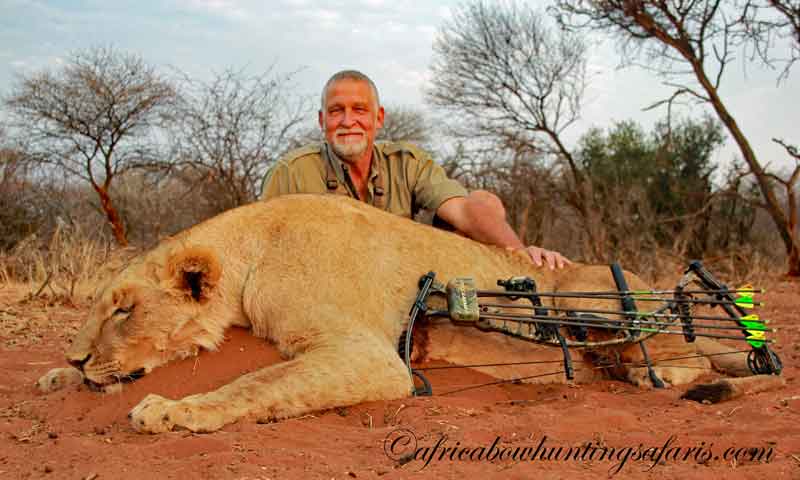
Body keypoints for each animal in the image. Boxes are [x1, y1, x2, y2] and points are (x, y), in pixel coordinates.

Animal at [36, 194, 777, 433]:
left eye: (124, 309)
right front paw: (56, 375)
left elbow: (254, 382)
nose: (77, 353)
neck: (251, 253)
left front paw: (171, 409)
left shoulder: (369, 356)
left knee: (684, 361)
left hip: (586, 299)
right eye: (100, 305)